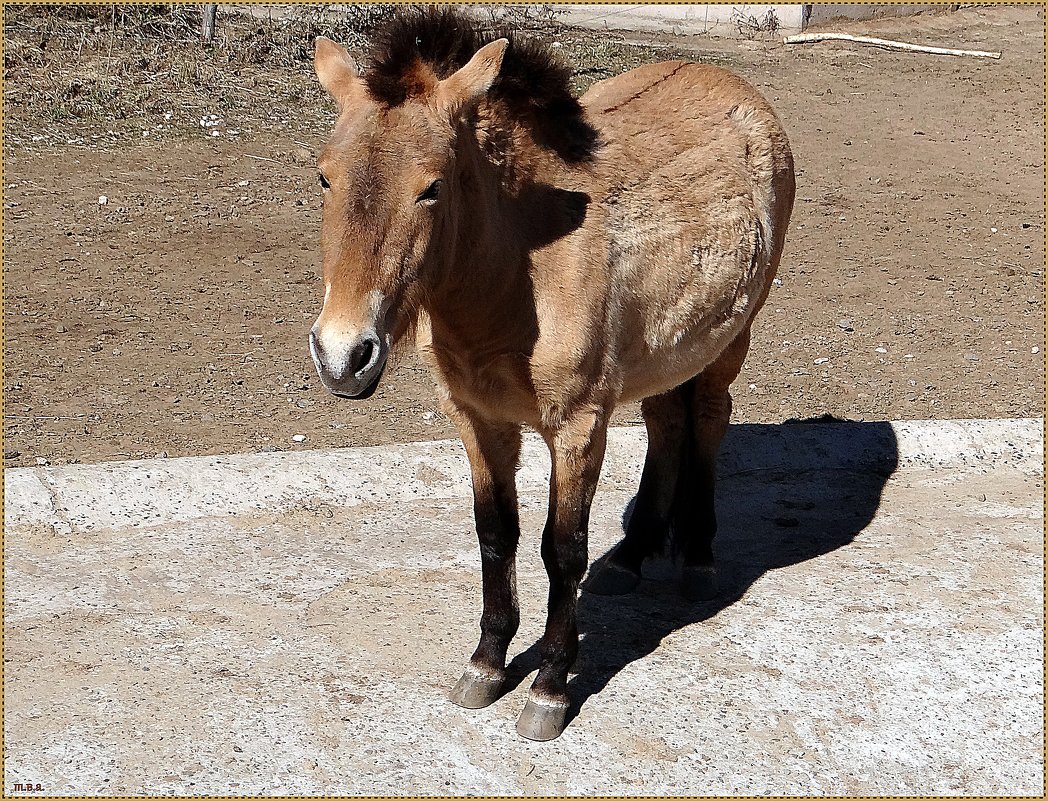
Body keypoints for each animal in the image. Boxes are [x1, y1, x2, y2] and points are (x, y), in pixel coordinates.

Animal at [308, 9, 792, 742]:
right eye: (325, 177)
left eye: (432, 186)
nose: (343, 355)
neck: (520, 272)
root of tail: (737, 87)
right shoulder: (478, 419)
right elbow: (495, 535)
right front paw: (485, 663)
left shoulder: (578, 426)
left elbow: (562, 548)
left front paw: (550, 688)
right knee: (665, 421)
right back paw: (633, 554)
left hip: (732, 336)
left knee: (709, 417)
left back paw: (699, 556)